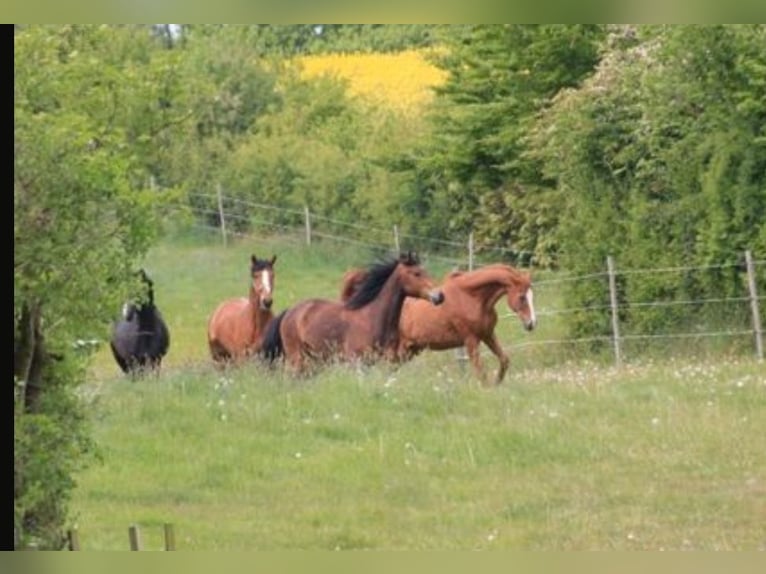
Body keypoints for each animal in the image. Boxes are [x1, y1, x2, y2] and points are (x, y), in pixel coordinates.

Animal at [261, 251, 445, 375]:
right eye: (416, 273)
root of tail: (289, 312)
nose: (439, 296)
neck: (372, 318)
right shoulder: (356, 363)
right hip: (297, 358)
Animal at [340, 263, 536, 385]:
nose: (531, 324)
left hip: (409, 350)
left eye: (532, 295)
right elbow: (480, 371)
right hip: (393, 350)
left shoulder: (487, 335)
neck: (472, 297)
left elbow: (504, 360)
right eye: (522, 297)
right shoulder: (471, 340)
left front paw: (497, 383)